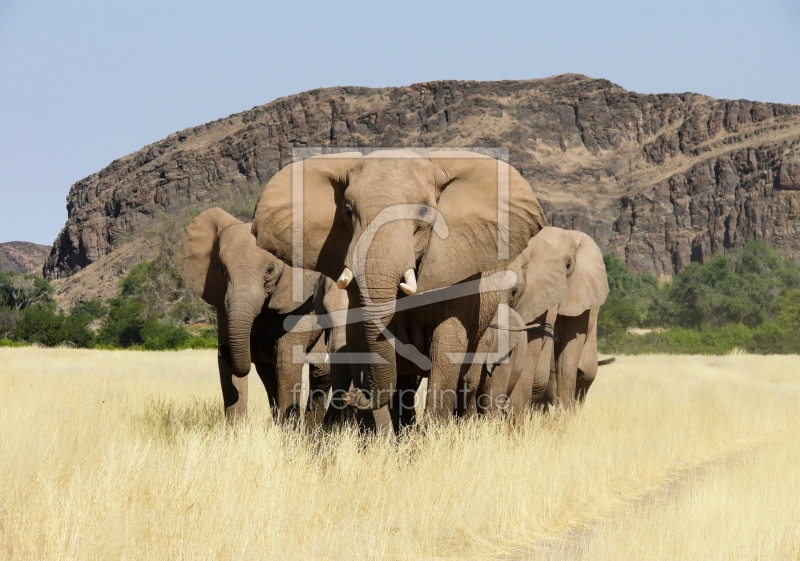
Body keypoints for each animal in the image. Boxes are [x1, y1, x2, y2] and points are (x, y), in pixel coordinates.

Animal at [175, 208, 328, 422]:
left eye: (270, 270)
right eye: (221, 269)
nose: (224, 348)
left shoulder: (301, 304)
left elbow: (287, 361)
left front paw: (288, 430)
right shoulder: (222, 305)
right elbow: (227, 372)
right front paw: (237, 429)